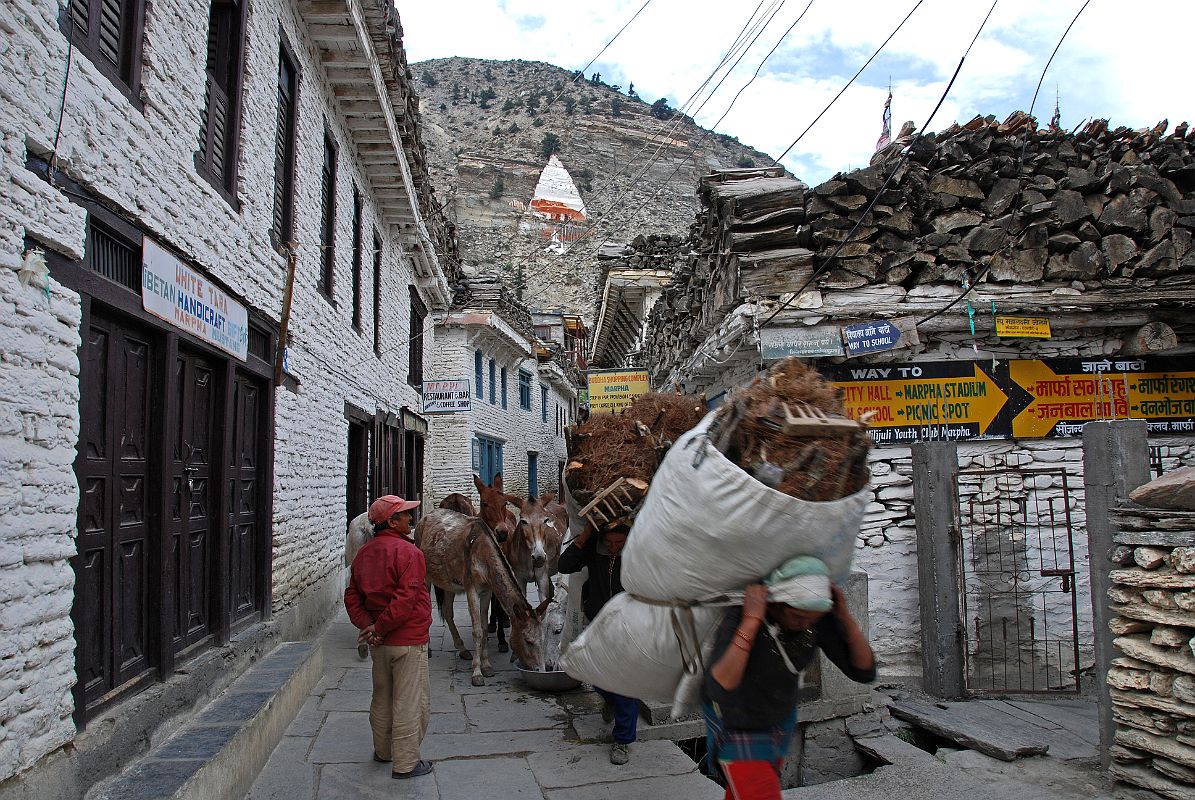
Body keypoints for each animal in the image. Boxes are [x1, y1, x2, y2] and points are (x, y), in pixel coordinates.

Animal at [415, 509, 548, 685]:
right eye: (528, 641)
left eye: (543, 639)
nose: (541, 670)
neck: (484, 556)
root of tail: (425, 516)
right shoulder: (471, 588)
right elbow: (477, 630)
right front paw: (477, 673)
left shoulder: (487, 591)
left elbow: (484, 629)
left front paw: (487, 667)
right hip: (426, 576)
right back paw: (429, 649)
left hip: (449, 583)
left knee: (447, 611)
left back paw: (463, 650)